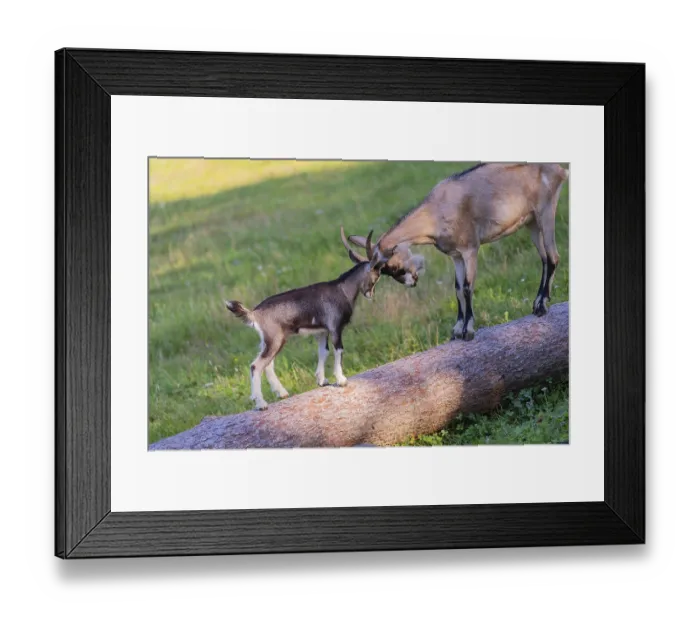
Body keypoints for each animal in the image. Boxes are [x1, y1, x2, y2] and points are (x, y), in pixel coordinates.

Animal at [226, 231, 382, 410]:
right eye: (377, 275)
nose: (371, 294)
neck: (342, 289)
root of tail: (254, 313)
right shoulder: (335, 327)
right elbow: (339, 350)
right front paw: (341, 380)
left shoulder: (322, 332)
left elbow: (323, 352)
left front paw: (322, 380)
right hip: (275, 340)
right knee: (256, 366)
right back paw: (261, 403)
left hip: (268, 341)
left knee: (268, 364)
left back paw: (281, 393)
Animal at [353, 162, 569, 341]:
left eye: (389, 265)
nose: (411, 282)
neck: (435, 213)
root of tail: (559, 170)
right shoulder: (455, 256)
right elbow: (456, 288)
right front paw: (457, 329)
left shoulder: (470, 249)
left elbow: (467, 287)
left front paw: (468, 330)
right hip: (531, 222)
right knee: (544, 258)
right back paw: (538, 302)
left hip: (546, 210)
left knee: (553, 256)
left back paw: (541, 306)